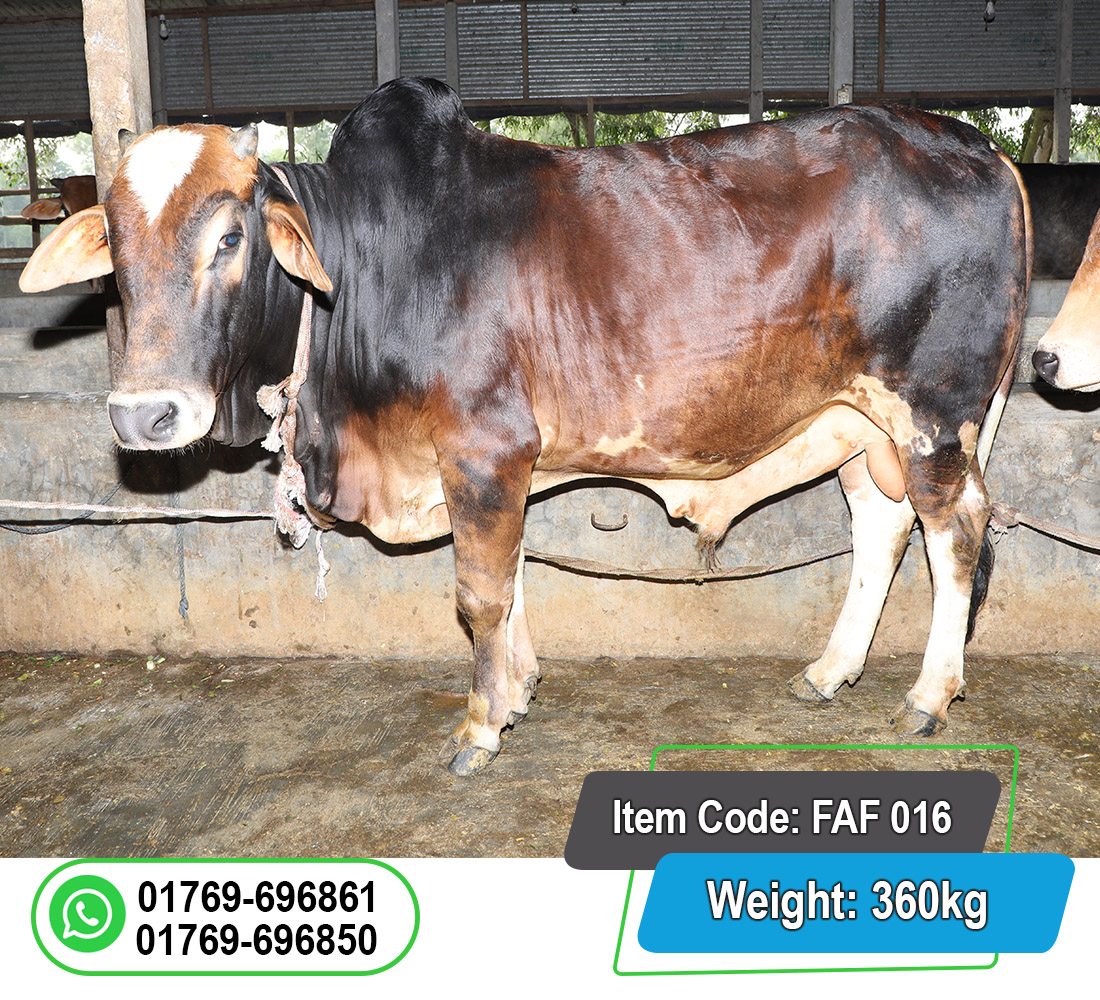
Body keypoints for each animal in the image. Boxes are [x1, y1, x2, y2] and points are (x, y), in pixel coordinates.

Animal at [19, 78, 1030, 775]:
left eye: (230, 237)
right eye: (114, 244)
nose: (144, 413)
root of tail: (982, 149)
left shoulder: (483, 450)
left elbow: (478, 596)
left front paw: (479, 725)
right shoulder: (502, 466)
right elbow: (508, 583)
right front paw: (518, 690)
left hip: (933, 414)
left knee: (956, 536)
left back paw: (928, 696)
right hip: (859, 424)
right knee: (882, 529)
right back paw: (829, 670)